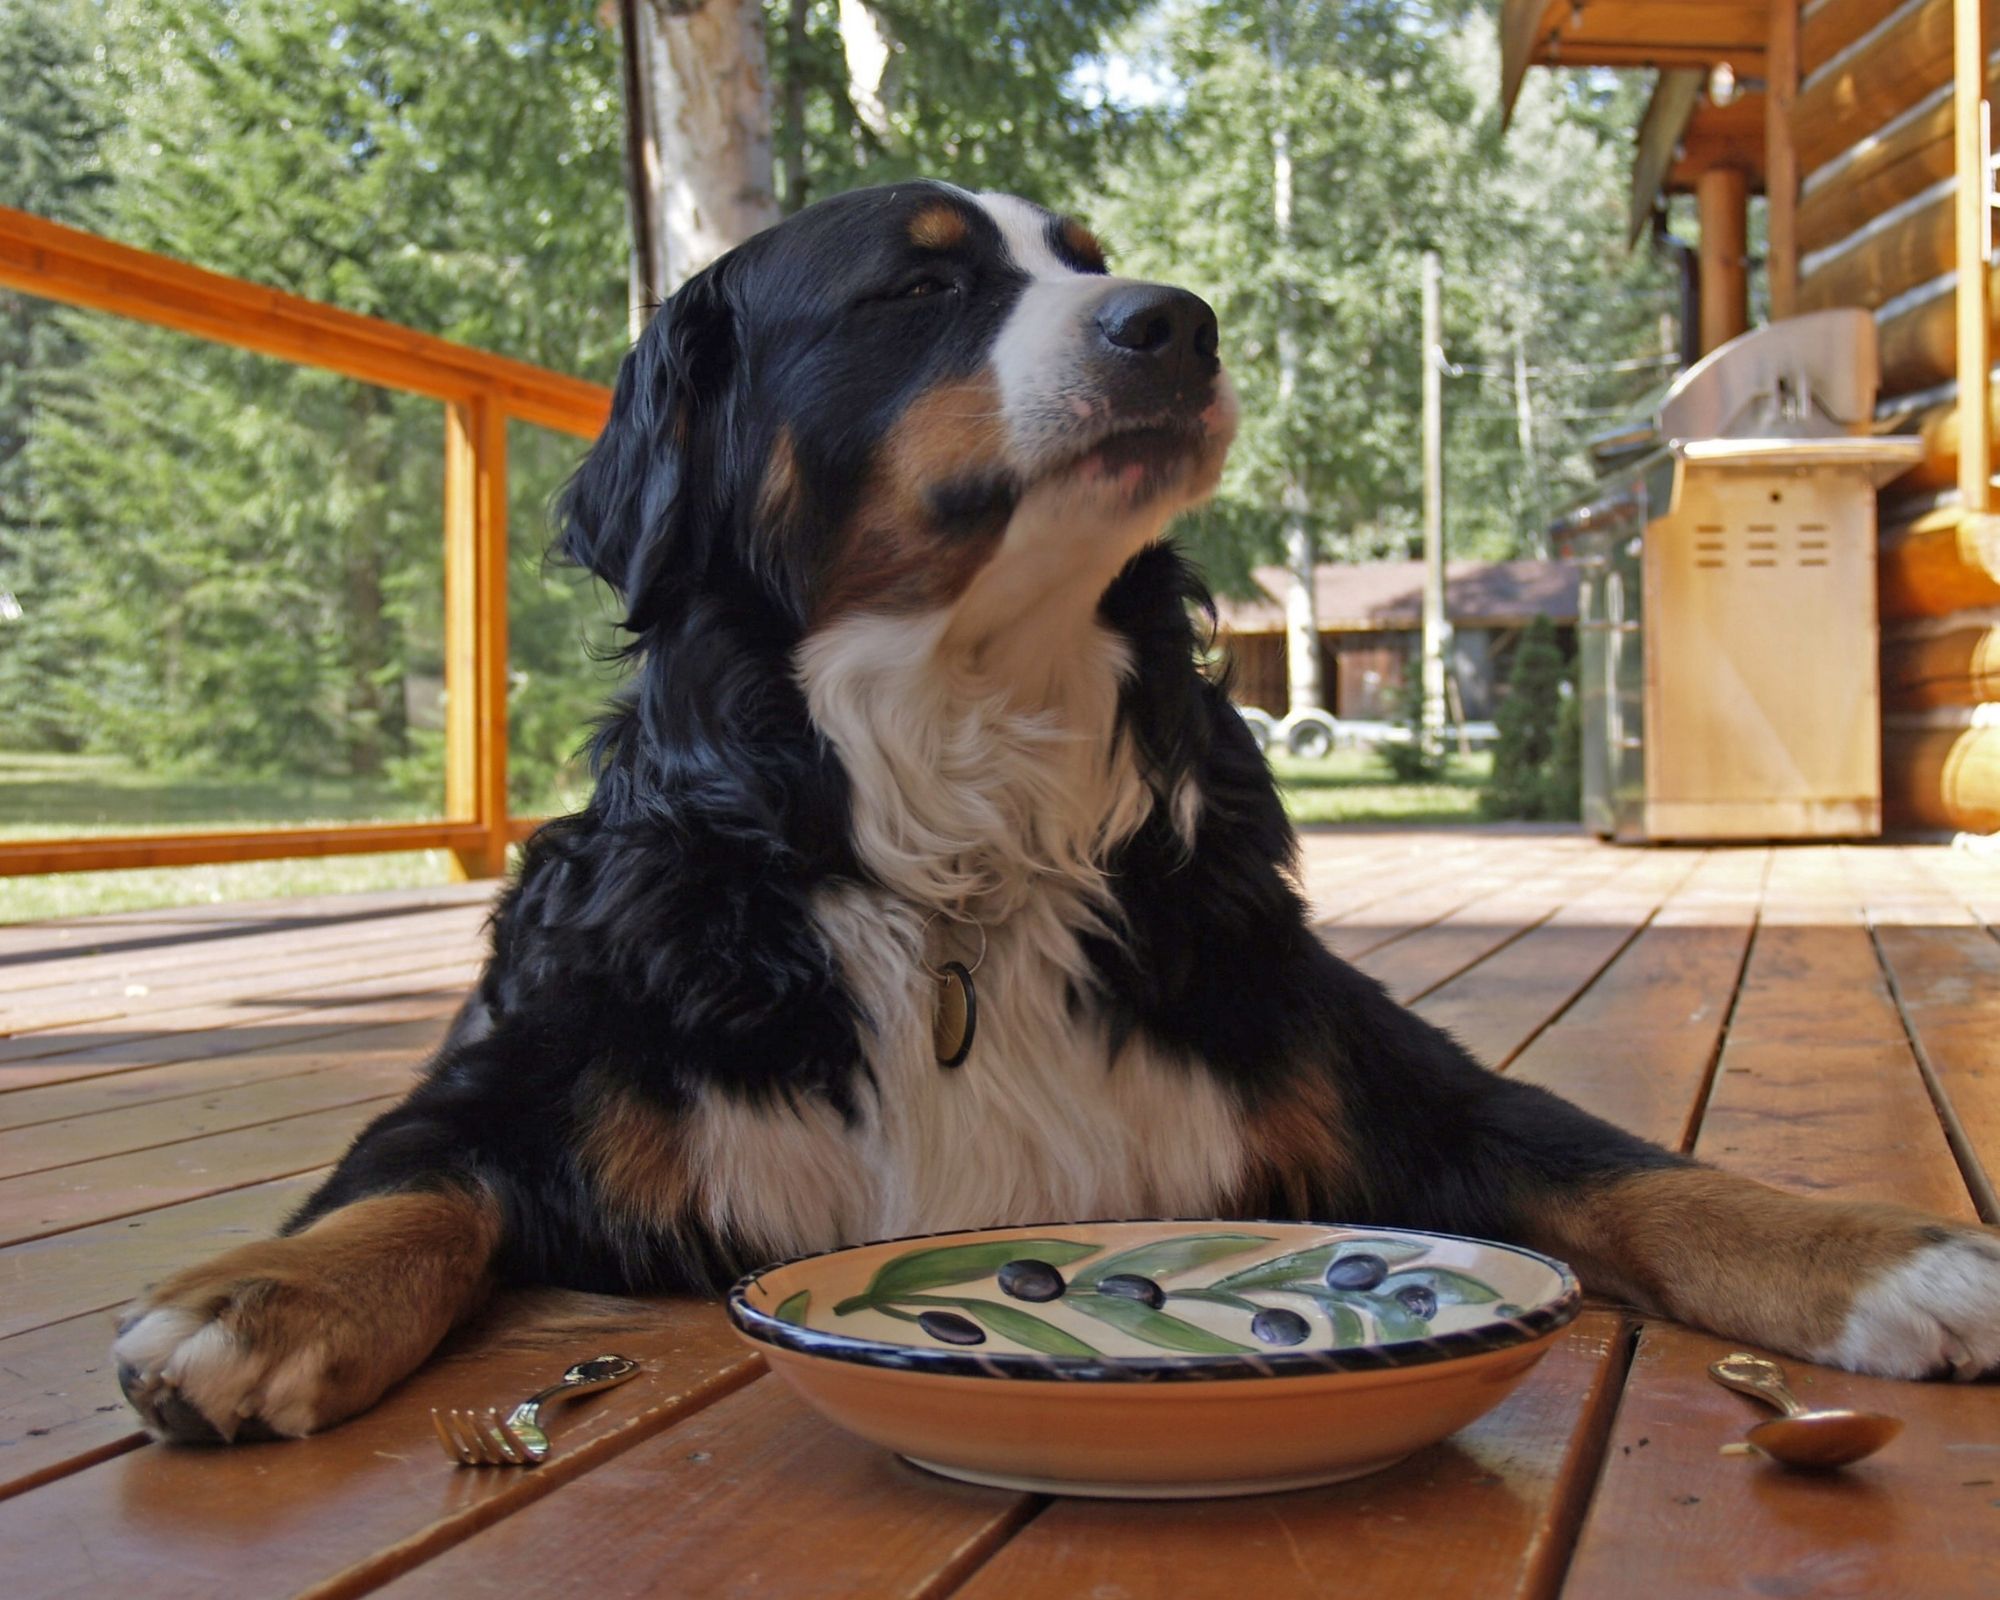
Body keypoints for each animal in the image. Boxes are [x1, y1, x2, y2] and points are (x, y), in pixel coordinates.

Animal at [113, 181, 2000, 1440]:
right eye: (919, 286)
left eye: (1090, 261)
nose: (1181, 320)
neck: (960, 809)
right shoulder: (535, 1070)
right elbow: (410, 1190)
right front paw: (255, 1298)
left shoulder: (1363, 1062)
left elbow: (1630, 1170)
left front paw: (1888, 1258)